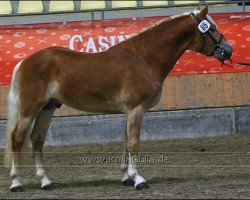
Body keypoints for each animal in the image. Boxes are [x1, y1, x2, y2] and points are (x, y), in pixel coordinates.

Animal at [3, 5, 232, 191]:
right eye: (211, 29)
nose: (228, 50)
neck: (144, 58)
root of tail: (25, 61)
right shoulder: (135, 109)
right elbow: (133, 143)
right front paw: (138, 179)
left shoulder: (128, 112)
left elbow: (125, 141)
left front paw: (126, 177)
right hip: (29, 110)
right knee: (17, 138)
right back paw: (16, 183)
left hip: (47, 108)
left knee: (37, 139)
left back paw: (46, 181)